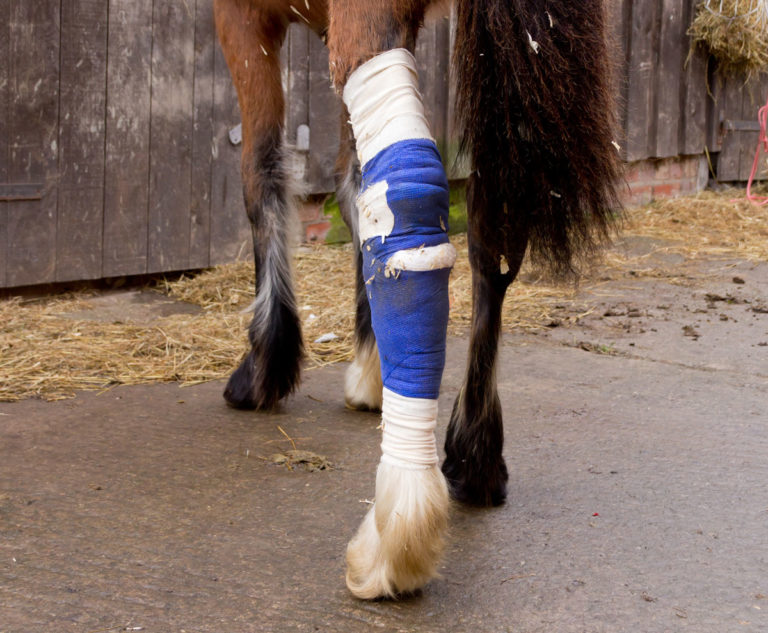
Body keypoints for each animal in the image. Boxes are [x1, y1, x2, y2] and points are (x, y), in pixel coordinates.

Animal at [213, 0, 622, 599]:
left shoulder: (243, 20)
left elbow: (261, 172)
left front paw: (269, 358)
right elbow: (355, 188)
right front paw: (370, 366)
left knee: (412, 184)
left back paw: (400, 524)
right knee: (490, 225)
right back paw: (474, 453)